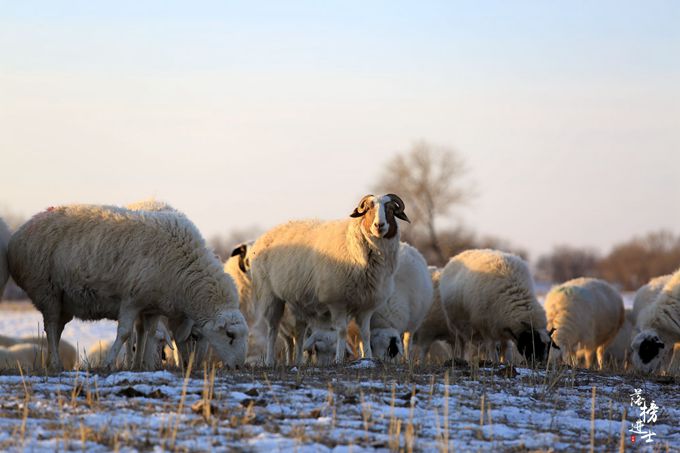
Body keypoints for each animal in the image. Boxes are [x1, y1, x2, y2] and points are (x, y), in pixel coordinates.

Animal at [7, 203, 248, 370]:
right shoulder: (132, 299)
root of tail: (20, 233)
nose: (238, 366)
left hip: (64, 300)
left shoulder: (152, 305)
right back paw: (56, 363)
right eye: (230, 335)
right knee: (50, 326)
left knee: (56, 329)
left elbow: (147, 333)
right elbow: (124, 333)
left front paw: (142, 365)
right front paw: (109, 363)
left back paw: (52, 362)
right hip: (46, 290)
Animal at [250, 193, 410, 364]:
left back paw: (298, 361)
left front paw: (368, 357)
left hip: (297, 301)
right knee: (272, 330)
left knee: (299, 332)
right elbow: (342, 331)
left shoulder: (367, 304)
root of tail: (264, 236)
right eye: (368, 209)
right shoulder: (337, 301)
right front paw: (339, 359)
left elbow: (365, 334)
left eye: (391, 210)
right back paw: (269, 360)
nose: (379, 225)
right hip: (270, 296)